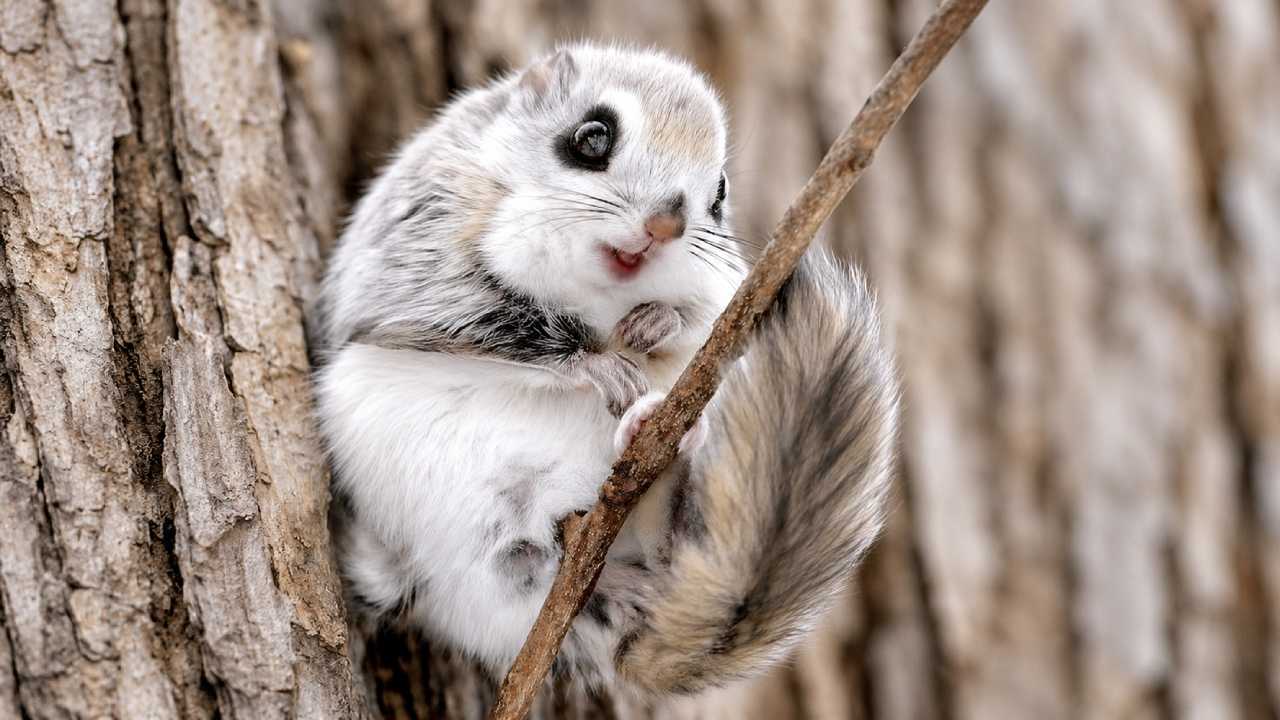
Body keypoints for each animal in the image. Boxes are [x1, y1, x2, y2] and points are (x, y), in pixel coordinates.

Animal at [311, 43, 900, 696]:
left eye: (720, 193)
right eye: (591, 136)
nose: (666, 225)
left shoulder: (725, 290)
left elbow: (701, 319)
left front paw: (657, 322)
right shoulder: (419, 250)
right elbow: (486, 322)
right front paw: (599, 365)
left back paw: (659, 435)